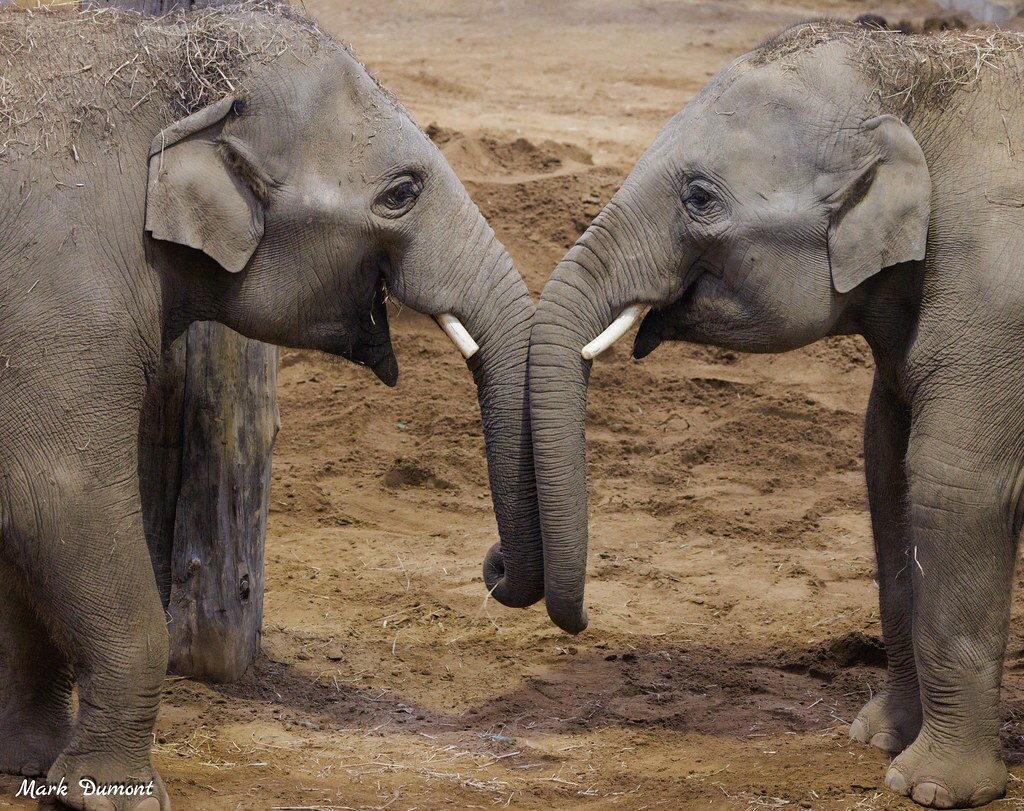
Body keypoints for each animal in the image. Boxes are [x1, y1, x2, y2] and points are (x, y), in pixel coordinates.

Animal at [0, 5, 544, 809]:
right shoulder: (61, 294)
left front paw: (30, 768)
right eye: (401, 193)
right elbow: (53, 497)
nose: (495, 564)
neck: (163, 68)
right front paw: (111, 796)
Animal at [518, 21, 1024, 809]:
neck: (920, 78)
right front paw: (874, 738)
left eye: (699, 197)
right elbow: (888, 469)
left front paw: (930, 788)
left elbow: (952, 488)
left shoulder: (997, 303)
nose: (582, 620)